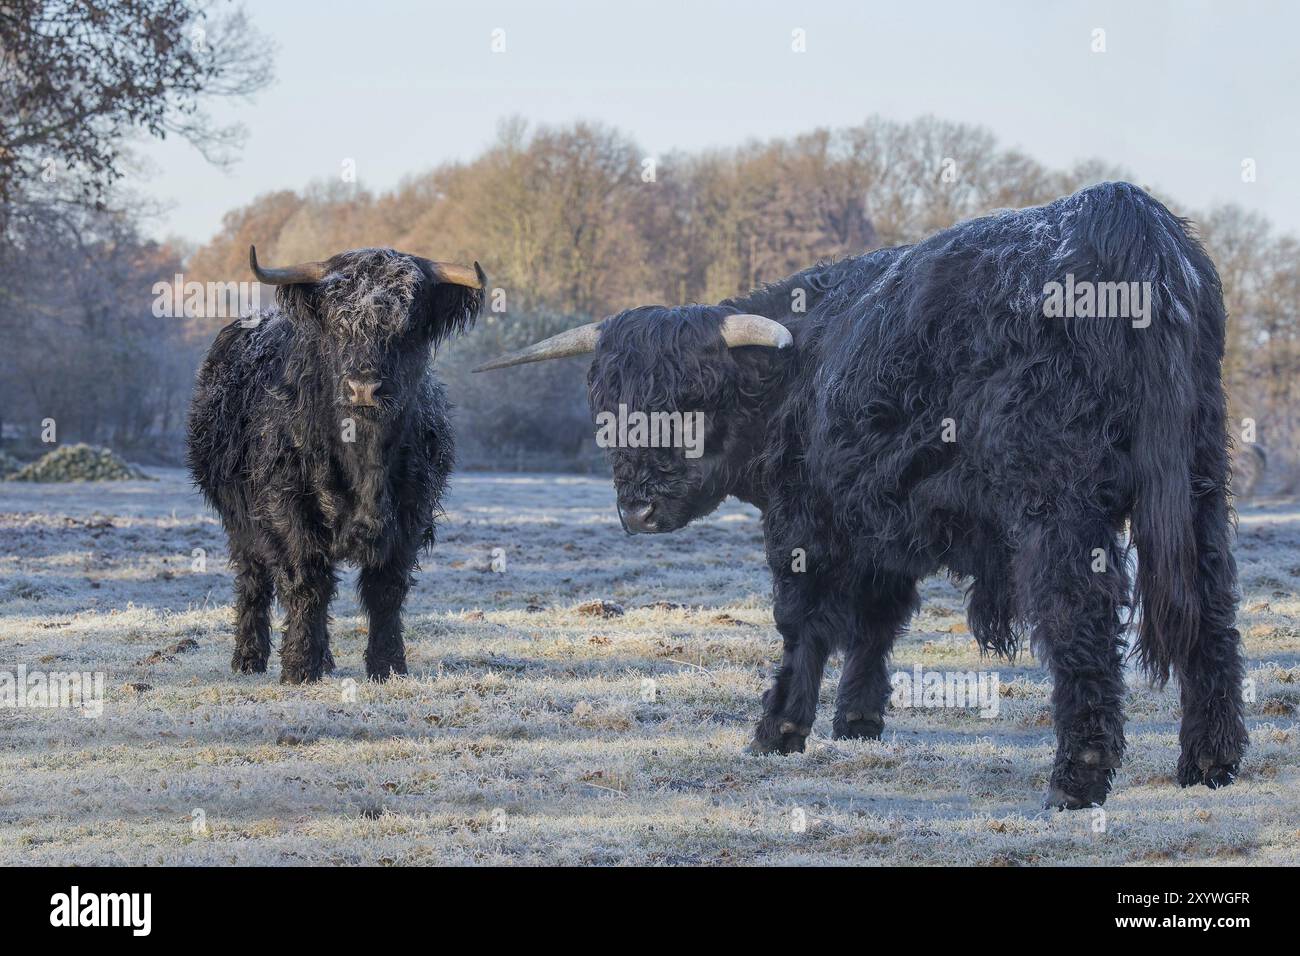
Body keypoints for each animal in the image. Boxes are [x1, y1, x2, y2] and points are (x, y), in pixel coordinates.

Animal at [188, 244, 483, 681]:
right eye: (338, 326)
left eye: (409, 325)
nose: (364, 387)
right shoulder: (288, 508)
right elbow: (307, 582)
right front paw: (300, 667)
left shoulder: (412, 511)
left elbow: (385, 590)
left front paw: (387, 664)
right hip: (239, 520)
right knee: (254, 579)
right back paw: (248, 658)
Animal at [483, 180, 1253, 806]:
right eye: (608, 409)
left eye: (692, 400)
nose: (635, 508)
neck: (793, 378)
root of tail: (1122, 215)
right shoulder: (880, 517)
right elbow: (877, 620)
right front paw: (857, 721)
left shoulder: (804, 520)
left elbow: (803, 622)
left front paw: (777, 729)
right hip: (1198, 486)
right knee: (1212, 609)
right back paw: (1209, 763)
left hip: (1060, 502)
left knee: (1078, 616)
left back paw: (1076, 781)